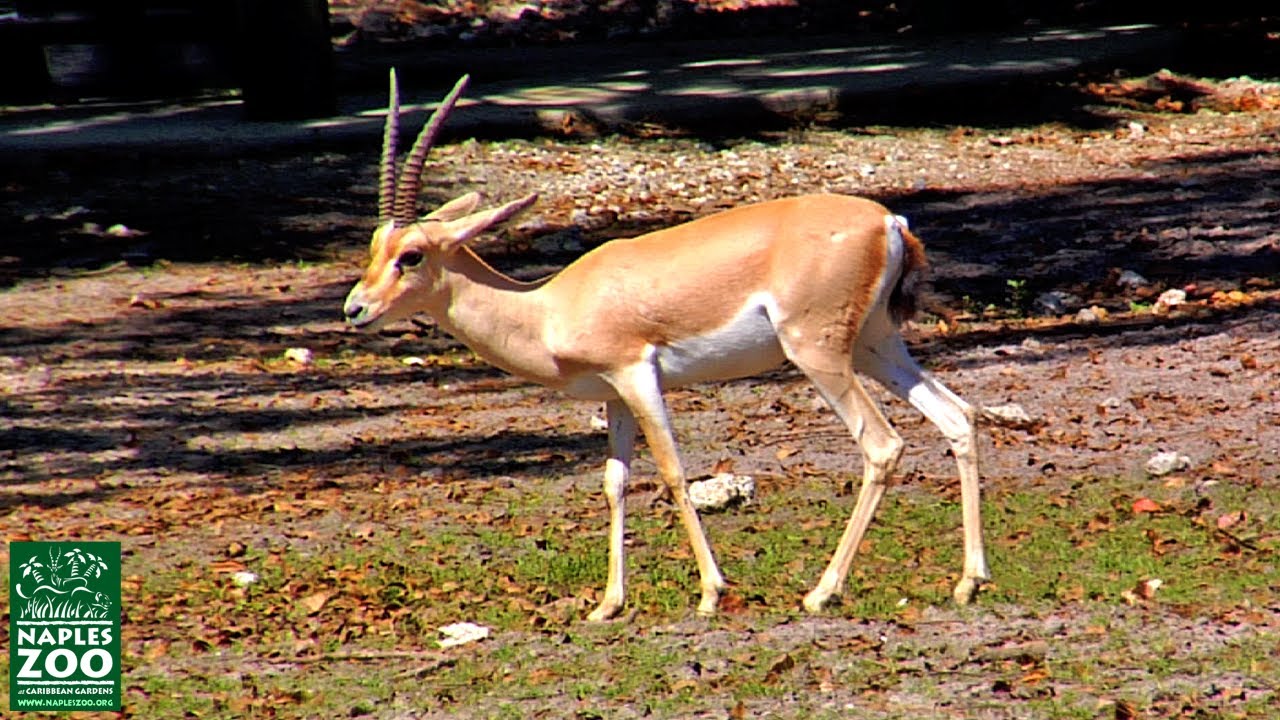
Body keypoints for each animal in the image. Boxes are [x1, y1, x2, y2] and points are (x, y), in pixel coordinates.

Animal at [343, 71, 989, 621]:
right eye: (376, 246)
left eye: (412, 256)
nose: (355, 308)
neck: (549, 307)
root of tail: (888, 222)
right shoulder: (614, 397)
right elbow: (615, 482)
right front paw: (608, 605)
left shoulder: (638, 375)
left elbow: (676, 472)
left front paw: (710, 593)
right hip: (874, 347)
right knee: (957, 416)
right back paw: (968, 583)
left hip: (819, 353)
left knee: (882, 444)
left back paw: (821, 593)